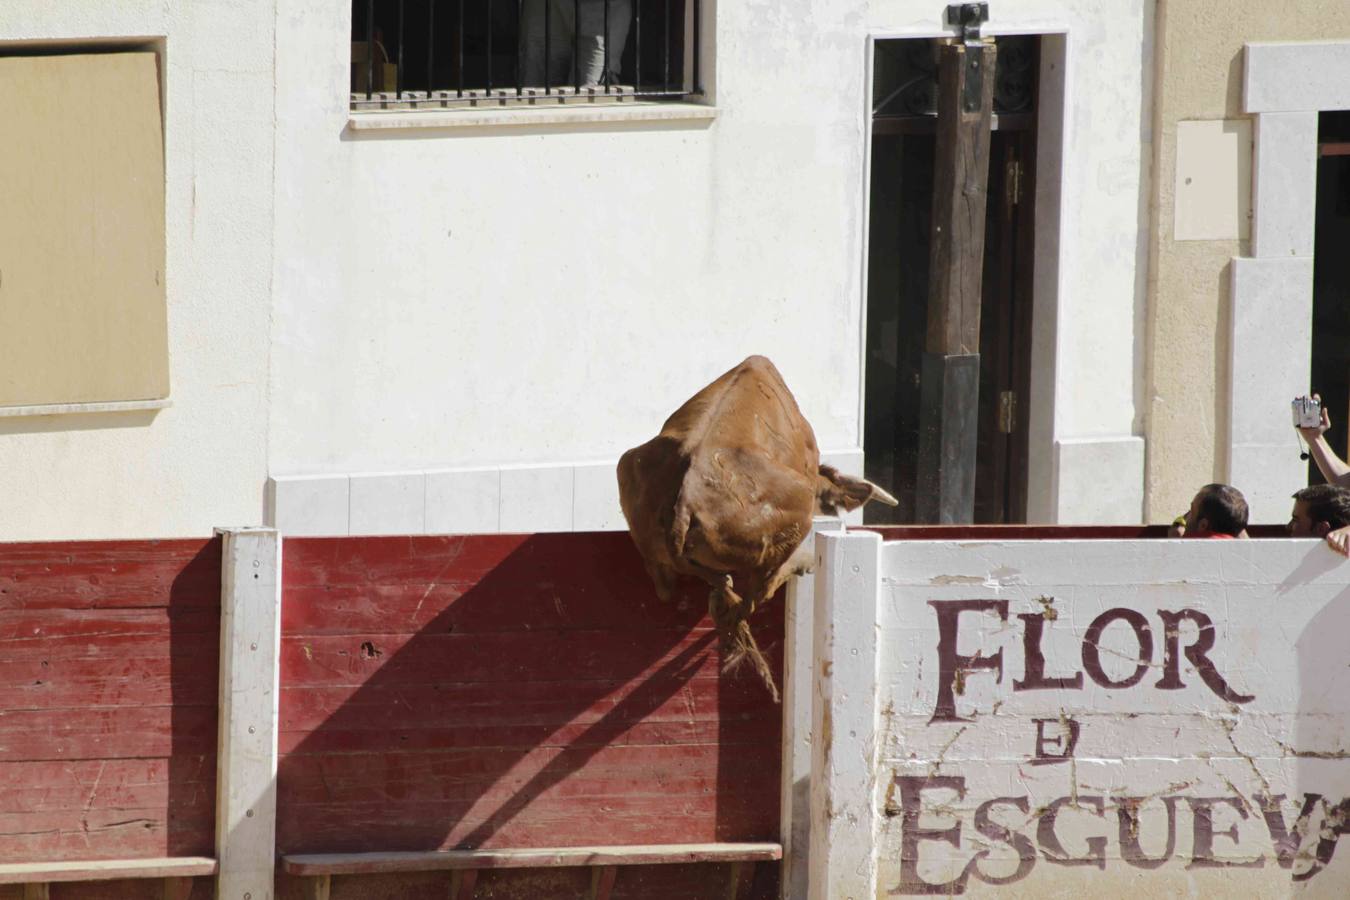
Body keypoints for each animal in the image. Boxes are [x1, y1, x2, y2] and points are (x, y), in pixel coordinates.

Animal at [615, 356, 896, 701]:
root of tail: (686, 496)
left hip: (631, 481)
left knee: (674, 586)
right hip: (796, 516)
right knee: (759, 591)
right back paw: (801, 563)